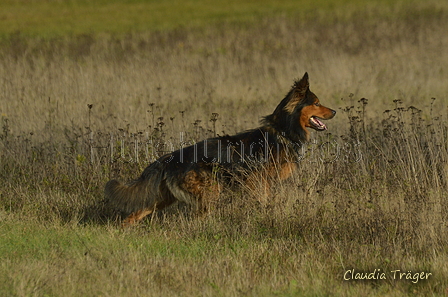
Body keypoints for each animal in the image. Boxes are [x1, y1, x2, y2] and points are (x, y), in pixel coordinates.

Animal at [106, 72, 336, 224]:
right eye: (316, 103)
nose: (334, 111)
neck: (283, 131)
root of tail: (172, 157)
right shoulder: (259, 181)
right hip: (209, 192)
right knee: (196, 218)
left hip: (163, 198)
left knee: (133, 216)